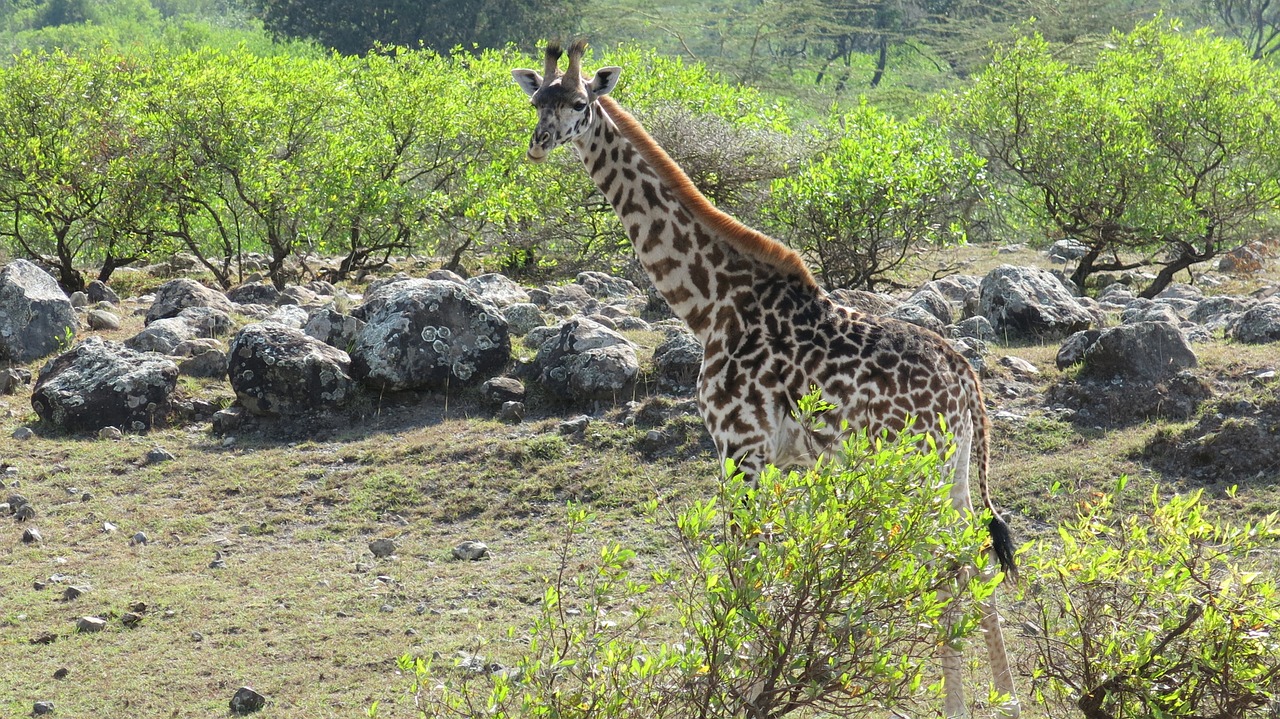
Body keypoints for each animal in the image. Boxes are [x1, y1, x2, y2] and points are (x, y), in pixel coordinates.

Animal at [509, 40, 1018, 716]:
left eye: (578, 104)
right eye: (536, 101)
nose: (539, 142)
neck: (710, 305)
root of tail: (969, 386)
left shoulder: (740, 445)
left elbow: (743, 564)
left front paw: (744, 687)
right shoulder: (776, 458)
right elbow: (760, 562)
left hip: (912, 468)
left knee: (946, 565)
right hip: (954, 472)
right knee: (972, 557)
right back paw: (1008, 699)